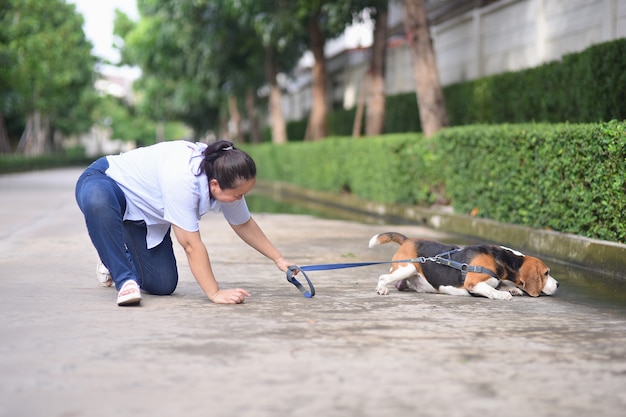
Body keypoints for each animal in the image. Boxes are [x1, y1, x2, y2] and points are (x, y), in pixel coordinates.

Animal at [366, 231, 556, 300]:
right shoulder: (473, 282)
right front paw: (503, 294)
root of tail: (408, 239)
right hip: (409, 267)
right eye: (546, 273)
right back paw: (381, 289)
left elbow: (499, 285)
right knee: (383, 277)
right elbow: (490, 290)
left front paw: (512, 289)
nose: (559, 284)